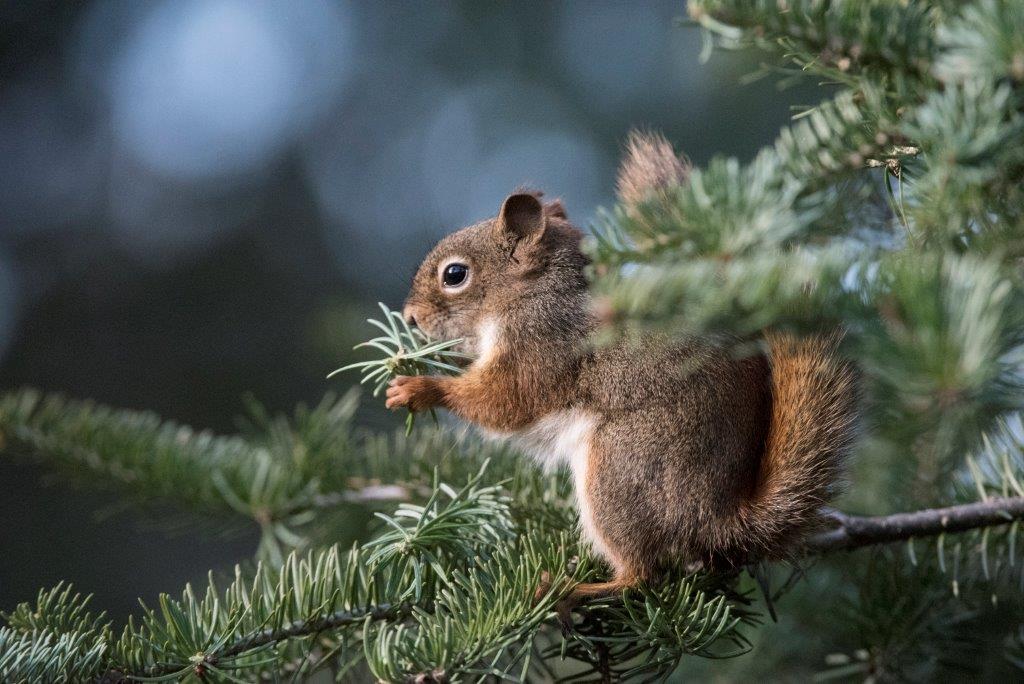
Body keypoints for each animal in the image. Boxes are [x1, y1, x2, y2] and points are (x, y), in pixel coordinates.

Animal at [386, 130, 858, 618]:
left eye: (455, 275)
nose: (410, 318)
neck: (533, 291)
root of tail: (720, 517)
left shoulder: (541, 344)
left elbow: (505, 401)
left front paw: (420, 388)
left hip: (620, 468)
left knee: (644, 576)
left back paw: (572, 589)